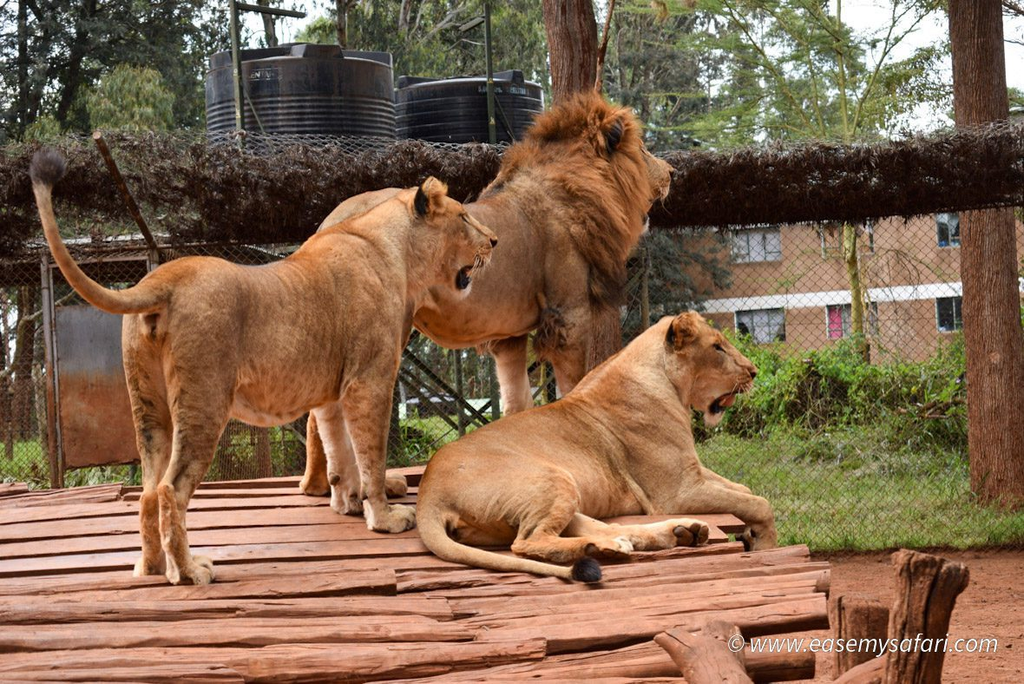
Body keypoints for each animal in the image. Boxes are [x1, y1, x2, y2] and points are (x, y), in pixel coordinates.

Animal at [29, 149, 496, 585]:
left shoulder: (334, 391)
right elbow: (370, 454)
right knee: (169, 490)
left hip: (149, 410)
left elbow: (339, 449)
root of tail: (161, 281)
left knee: (146, 491)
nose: (494, 241)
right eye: (464, 216)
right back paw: (190, 571)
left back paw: (151, 567)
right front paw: (384, 517)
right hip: (203, 402)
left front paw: (346, 501)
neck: (396, 250)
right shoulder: (370, 380)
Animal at [302, 91, 675, 506]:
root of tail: (326, 223)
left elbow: (516, 403)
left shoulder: (509, 336)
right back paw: (360, 489)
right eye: (643, 149)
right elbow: (574, 390)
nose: (673, 171)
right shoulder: (569, 317)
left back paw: (317, 485)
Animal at [414, 312, 775, 582]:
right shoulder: (677, 491)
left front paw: (749, 534)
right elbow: (759, 503)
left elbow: (744, 490)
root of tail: (428, 492)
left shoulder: (692, 472)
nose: (754, 371)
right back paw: (601, 549)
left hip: (562, 489)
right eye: (717, 347)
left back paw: (679, 532)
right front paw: (766, 545)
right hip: (552, 478)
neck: (667, 382)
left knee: (608, 527)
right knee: (527, 543)